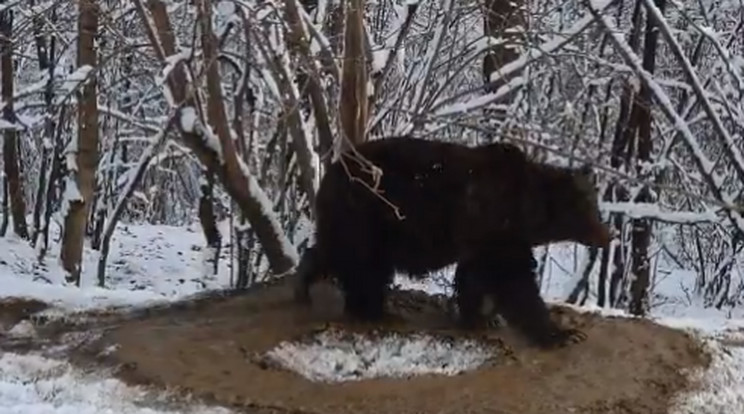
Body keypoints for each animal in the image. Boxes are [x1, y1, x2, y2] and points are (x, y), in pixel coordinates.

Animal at [292, 135, 612, 346]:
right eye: (586, 207)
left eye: (594, 204)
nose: (607, 235)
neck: (526, 212)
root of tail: (330, 170)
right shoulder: (496, 227)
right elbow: (514, 281)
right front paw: (561, 334)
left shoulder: (485, 238)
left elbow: (473, 276)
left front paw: (479, 317)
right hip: (367, 214)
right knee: (357, 260)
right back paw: (365, 309)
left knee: (346, 256)